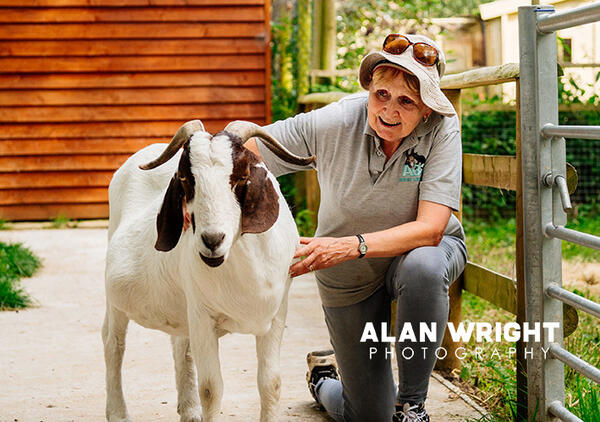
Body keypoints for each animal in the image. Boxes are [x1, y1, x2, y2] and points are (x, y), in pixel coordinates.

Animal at [103, 119, 314, 422]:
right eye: (185, 180)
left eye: (242, 178)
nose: (212, 240)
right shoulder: (203, 316)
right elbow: (211, 390)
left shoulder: (275, 316)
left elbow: (270, 383)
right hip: (116, 299)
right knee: (113, 344)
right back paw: (118, 413)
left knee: (181, 346)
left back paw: (189, 411)